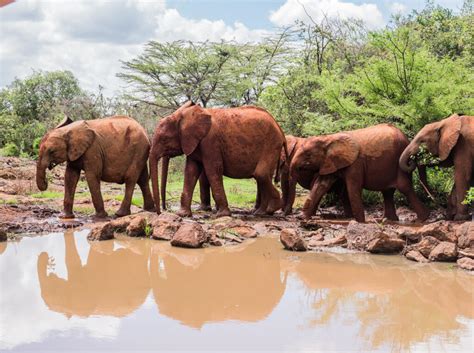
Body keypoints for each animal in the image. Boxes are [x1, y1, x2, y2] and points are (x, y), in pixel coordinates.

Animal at [150, 100, 286, 217]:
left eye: (164, 139)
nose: (162, 211)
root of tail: (280, 128)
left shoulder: (210, 141)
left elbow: (213, 170)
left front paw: (222, 215)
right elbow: (190, 172)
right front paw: (182, 214)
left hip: (271, 145)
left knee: (261, 174)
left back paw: (272, 208)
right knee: (262, 176)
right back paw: (261, 212)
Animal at [288, 124, 430, 221]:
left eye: (308, 154)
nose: (297, 217)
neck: (329, 138)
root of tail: (407, 139)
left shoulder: (356, 163)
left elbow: (353, 188)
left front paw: (360, 222)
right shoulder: (332, 161)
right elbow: (321, 185)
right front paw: (303, 218)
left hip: (399, 163)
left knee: (404, 187)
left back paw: (422, 219)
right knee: (387, 192)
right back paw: (389, 220)